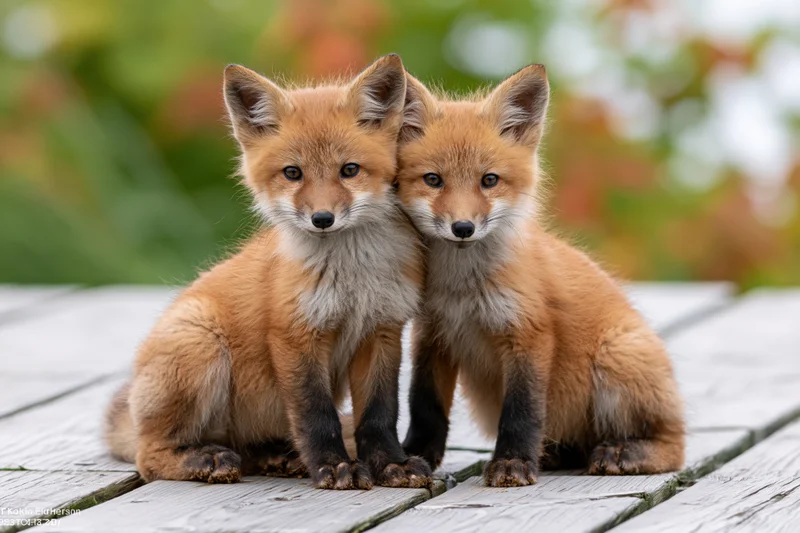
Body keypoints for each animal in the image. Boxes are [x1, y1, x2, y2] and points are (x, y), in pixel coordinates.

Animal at [104, 54, 433, 490]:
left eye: (349, 170)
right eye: (293, 173)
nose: (322, 219)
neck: (352, 278)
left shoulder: (382, 331)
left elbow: (380, 415)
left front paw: (391, 464)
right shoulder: (294, 334)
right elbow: (316, 415)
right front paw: (334, 466)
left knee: (249, 447)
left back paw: (276, 455)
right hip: (201, 345)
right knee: (149, 456)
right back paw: (203, 459)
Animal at [395, 65, 685, 487]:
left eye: (489, 180)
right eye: (433, 180)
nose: (463, 227)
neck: (461, 291)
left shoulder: (529, 332)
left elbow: (523, 410)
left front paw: (513, 462)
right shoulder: (431, 334)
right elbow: (424, 405)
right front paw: (413, 456)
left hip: (617, 360)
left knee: (676, 446)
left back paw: (626, 452)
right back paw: (557, 453)